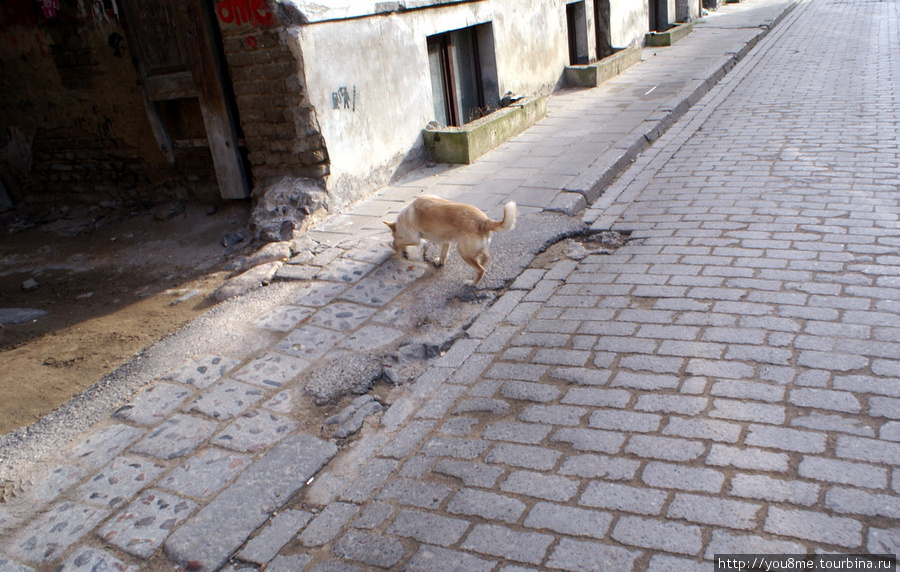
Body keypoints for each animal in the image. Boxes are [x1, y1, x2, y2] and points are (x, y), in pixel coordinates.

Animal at [384, 196, 516, 286]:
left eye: (395, 236)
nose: (404, 254)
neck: (402, 220)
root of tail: (485, 221)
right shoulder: (446, 241)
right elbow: (443, 253)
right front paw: (440, 261)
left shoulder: (413, 238)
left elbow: (399, 242)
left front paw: (395, 246)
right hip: (473, 249)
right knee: (485, 257)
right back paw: (481, 263)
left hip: (463, 252)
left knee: (481, 270)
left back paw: (473, 283)